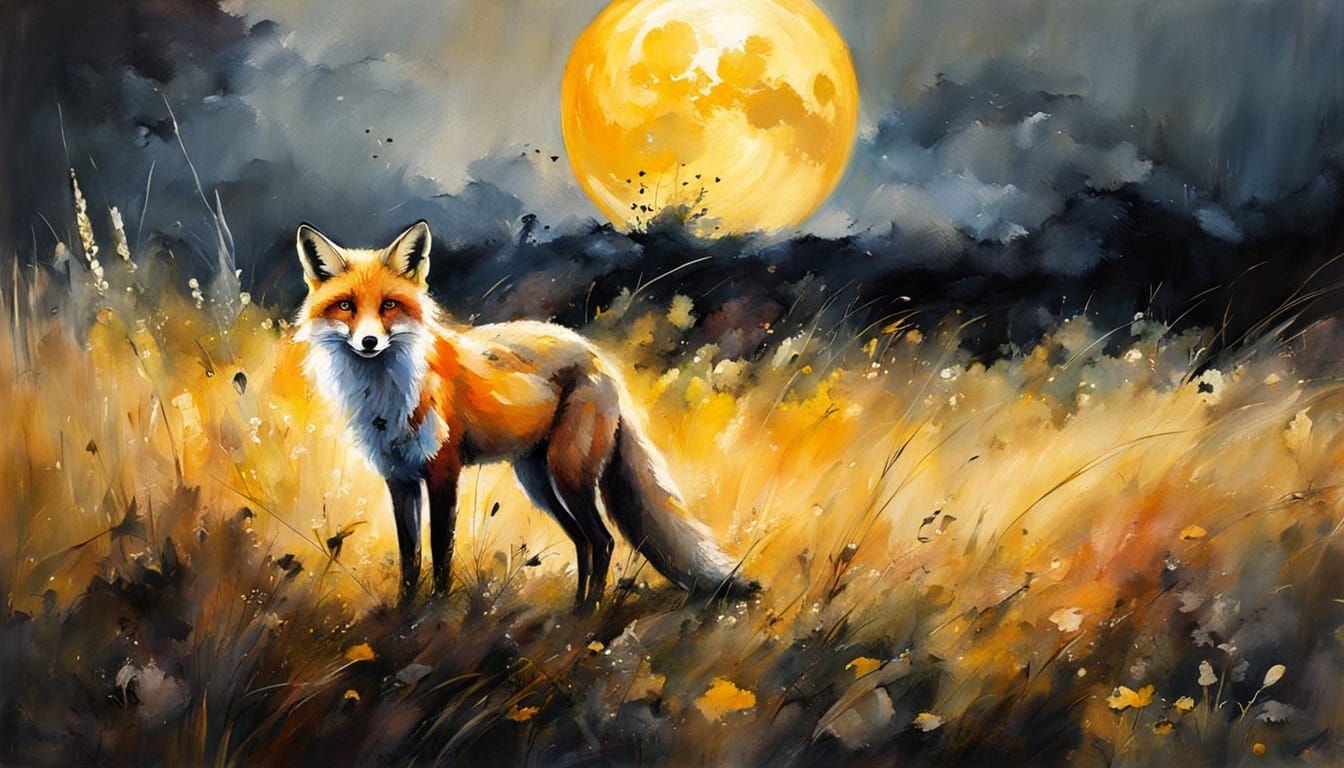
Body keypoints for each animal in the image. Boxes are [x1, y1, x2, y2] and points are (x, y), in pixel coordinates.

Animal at [293, 220, 757, 608]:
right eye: (346, 306)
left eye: (389, 305)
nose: (369, 342)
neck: (385, 395)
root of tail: (599, 359)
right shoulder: (400, 478)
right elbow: (411, 558)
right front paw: (405, 614)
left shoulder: (443, 470)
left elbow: (441, 551)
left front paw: (436, 611)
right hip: (539, 480)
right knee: (585, 543)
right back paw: (575, 609)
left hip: (568, 473)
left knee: (603, 540)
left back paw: (587, 615)